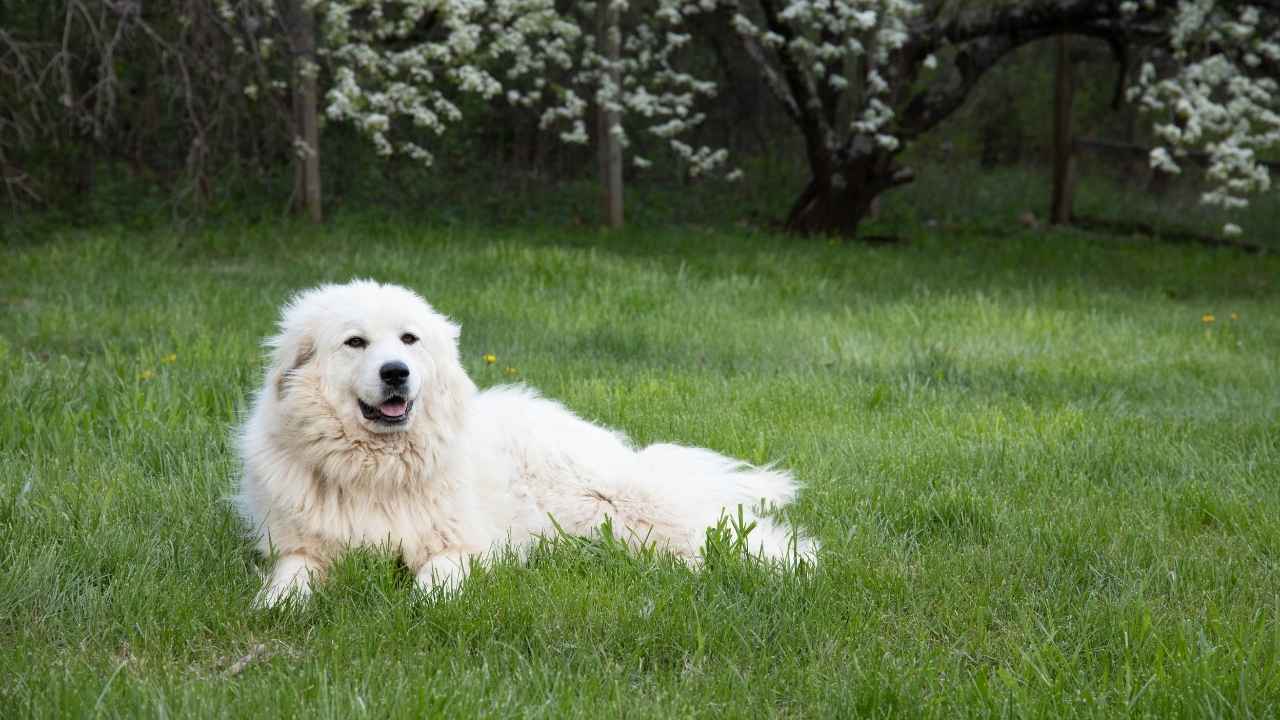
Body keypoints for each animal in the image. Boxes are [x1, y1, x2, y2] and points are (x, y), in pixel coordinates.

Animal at [236, 278, 814, 602]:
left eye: (408, 339)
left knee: (728, 535)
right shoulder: (301, 548)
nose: (397, 372)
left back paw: (791, 564)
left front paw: (421, 606)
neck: (377, 471)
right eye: (355, 342)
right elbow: (290, 579)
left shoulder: (462, 547)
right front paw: (277, 607)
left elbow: (434, 584)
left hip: (623, 508)